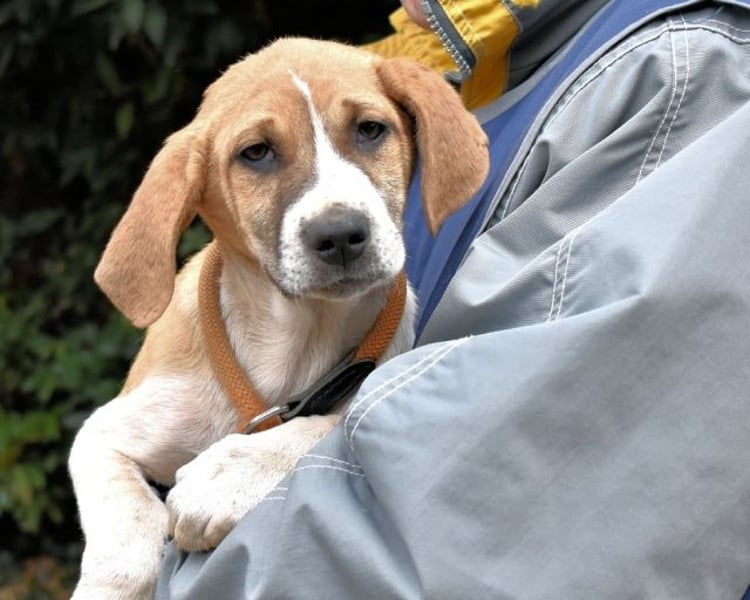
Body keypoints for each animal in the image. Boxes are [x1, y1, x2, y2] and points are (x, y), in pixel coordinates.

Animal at [68, 37, 488, 599]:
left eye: (370, 129)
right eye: (256, 153)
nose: (340, 234)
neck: (292, 338)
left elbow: (326, 424)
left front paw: (228, 476)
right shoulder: (102, 434)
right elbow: (125, 533)